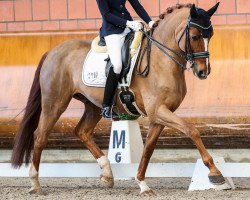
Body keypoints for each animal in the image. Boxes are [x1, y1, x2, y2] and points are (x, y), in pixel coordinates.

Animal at [11, 3, 225, 197]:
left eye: (211, 36)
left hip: (92, 106)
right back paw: (35, 184)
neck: (160, 60)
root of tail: (52, 51)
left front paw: (142, 184)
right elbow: (192, 130)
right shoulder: (158, 111)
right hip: (55, 103)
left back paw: (107, 174)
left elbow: (148, 149)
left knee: (82, 131)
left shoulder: (159, 115)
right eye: (195, 36)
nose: (203, 72)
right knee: (40, 135)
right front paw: (215, 173)